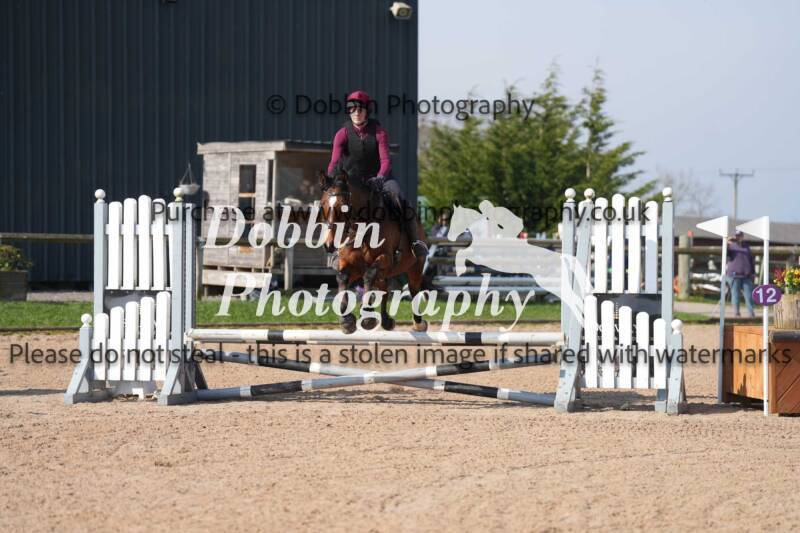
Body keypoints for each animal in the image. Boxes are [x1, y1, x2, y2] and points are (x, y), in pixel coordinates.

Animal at [318, 171, 430, 334]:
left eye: (343, 207)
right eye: (323, 205)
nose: (329, 245)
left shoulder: (385, 258)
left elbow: (369, 275)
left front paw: (367, 318)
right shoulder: (351, 265)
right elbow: (342, 278)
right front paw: (347, 320)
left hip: (414, 267)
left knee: (413, 289)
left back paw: (418, 323)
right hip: (381, 272)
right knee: (383, 289)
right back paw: (386, 320)